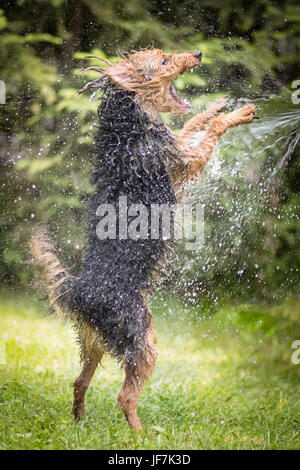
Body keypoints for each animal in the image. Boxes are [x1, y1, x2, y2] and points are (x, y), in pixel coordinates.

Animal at [29, 46, 255, 430]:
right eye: (163, 61)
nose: (197, 52)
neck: (129, 123)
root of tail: (78, 291)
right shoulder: (188, 160)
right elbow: (211, 131)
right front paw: (238, 113)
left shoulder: (179, 145)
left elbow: (193, 123)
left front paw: (217, 104)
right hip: (142, 338)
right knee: (125, 396)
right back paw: (142, 434)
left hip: (97, 340)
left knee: (79, 382)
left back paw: (80, 423)